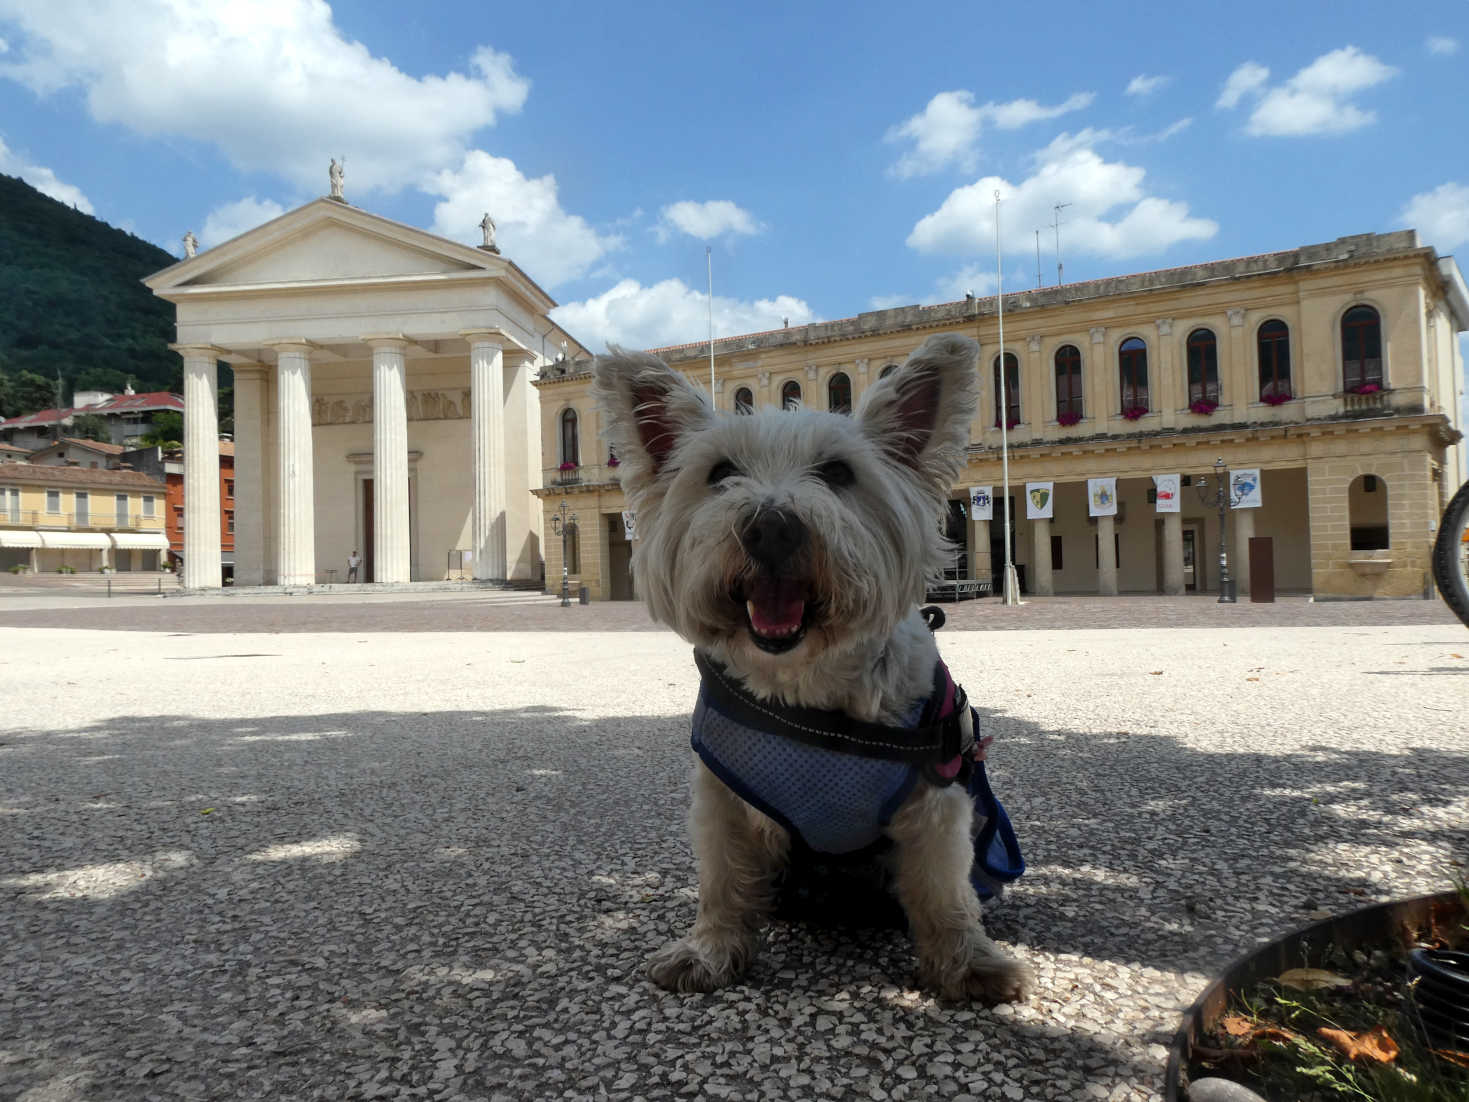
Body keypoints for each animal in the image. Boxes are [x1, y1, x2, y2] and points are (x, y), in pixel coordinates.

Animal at [593, 332, 1034, 1005]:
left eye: (839, 473)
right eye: (719, 473)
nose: (770, 527)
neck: (805, 687)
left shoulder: (935, 804)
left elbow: (942, 892)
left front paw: (967, 964)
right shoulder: (721, 801)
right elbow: (722, 883)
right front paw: (710, 951)